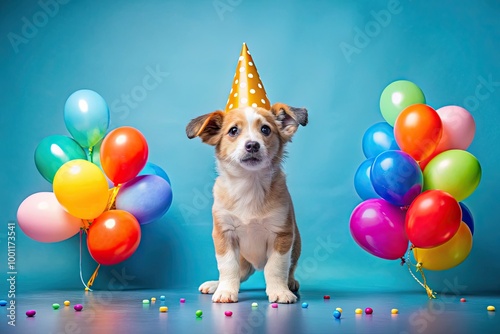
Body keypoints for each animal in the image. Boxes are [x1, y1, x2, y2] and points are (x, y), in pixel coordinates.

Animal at [186, 103, 306, 304]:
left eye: (265, 129)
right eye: (233, 131)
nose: (252, 145)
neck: (250, 185)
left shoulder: (282, 235)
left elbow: (275, 267)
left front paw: (279, 291)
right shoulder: (224, 234)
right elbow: (228, 266)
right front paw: (225, 291)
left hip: (295, 245)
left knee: (288, 268)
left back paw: (290, 283)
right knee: (239, 272)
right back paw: (216, 284)